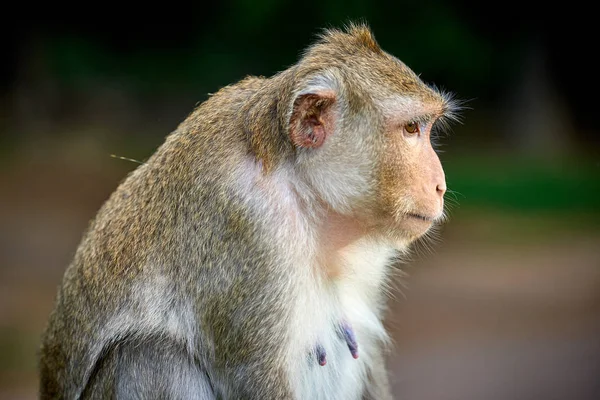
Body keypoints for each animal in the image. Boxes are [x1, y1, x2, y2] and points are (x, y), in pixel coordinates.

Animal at [39, 24, 458, 400]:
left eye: (424, 128)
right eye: (410, 129)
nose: (441, 185)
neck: (302, 190)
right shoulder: (247, 225)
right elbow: (254, 377)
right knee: (152, 355)